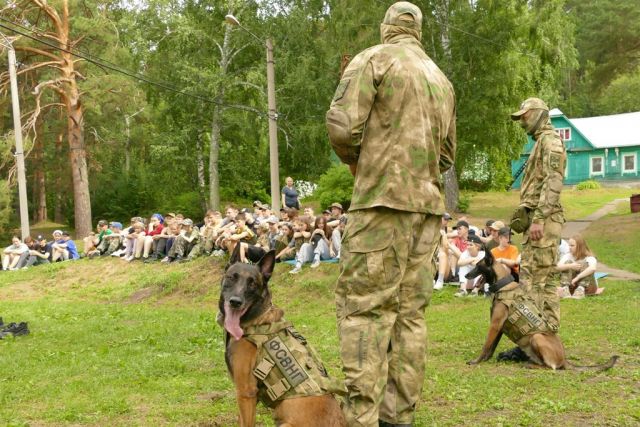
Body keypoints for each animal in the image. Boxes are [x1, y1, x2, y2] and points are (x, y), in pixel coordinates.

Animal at [462, 251, 616, 372]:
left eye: (478, 266)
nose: (466, 275)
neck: (504, 285)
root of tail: (565, 360)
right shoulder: (499, 327)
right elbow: (491, 347)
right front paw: (485, 360)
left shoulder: (494, 325)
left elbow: (486, 345)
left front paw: (476, 361)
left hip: (537, 337)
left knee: (551, 367)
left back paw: (530, 365)